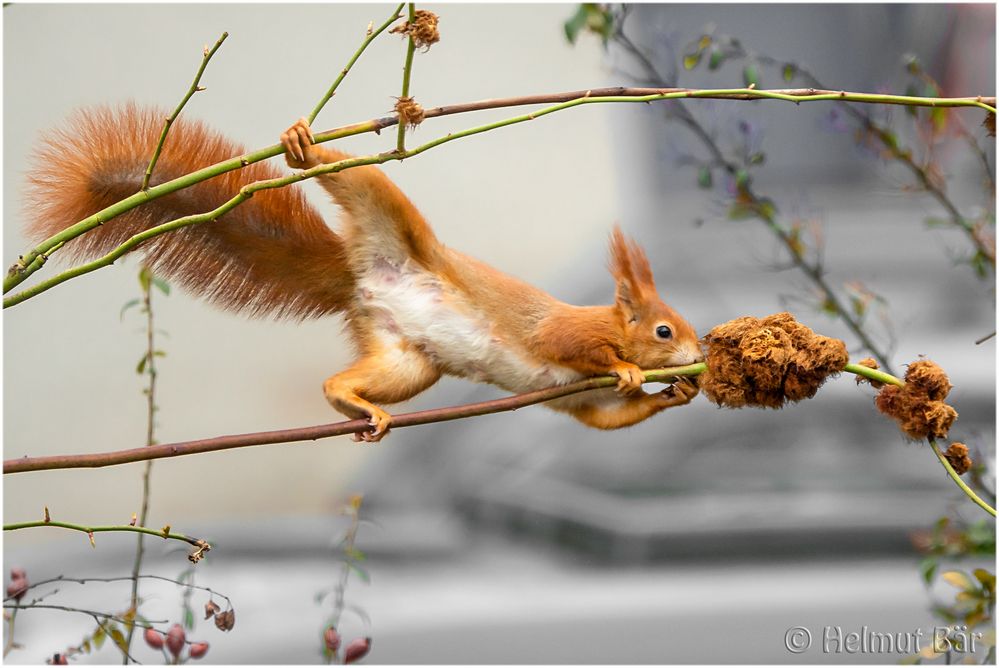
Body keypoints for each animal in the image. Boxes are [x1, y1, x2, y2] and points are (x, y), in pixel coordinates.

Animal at [23, 107, 704, 440]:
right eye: (664, 330)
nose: (701, 354)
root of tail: (362, 277)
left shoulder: (581, 403)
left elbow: (609, 418)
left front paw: (679, 392)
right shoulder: (564, 334)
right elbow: (572, 344)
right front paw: (629, 367)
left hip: (407, 362)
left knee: (343, 381)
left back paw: (352, 404)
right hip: (388, 211)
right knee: (355, 174)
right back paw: (304, 147)